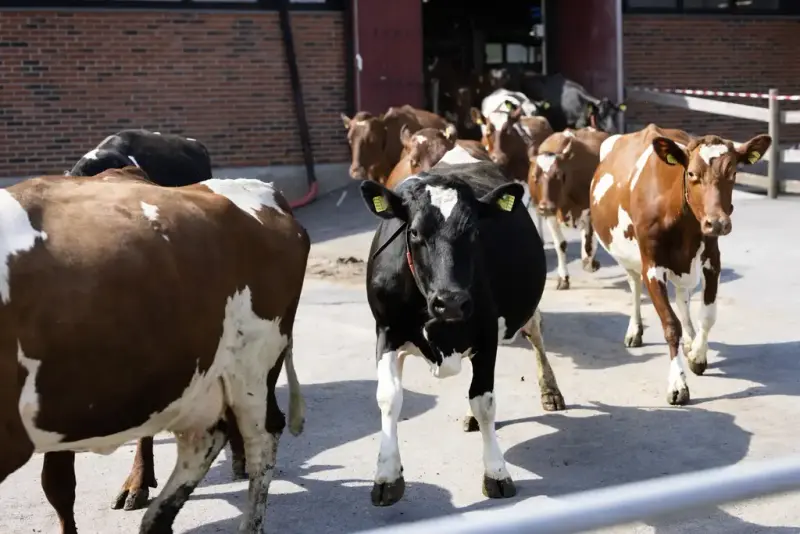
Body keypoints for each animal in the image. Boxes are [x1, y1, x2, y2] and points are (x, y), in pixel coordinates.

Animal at [360, 149, 564, 508]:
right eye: (414, 232)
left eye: (474, 232)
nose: (451, 301)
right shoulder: (386, 330)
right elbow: (388, 397)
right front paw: (386, 475)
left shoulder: (486, 334)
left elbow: (484, 401)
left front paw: (496, 473)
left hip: (523, 310)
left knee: (535, 333)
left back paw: (550, 391)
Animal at [528, 127, 608, 292]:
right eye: (534, 176)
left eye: (558, 175)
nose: (545, 207)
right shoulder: (551, 215)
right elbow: (561, 245)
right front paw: (563, 279)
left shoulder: (589, 209)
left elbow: (589, 242)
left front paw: (589, 262)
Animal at [592, 122, 772, 406]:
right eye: (692, 173)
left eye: (733, 172)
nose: (717, 223)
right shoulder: (651, 267)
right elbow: (670, 324)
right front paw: (678, 384)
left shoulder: (712, 259)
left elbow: (707, 315)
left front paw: (697, 354)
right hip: (629, 258)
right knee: (634, 286)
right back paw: (634, 331)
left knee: (682, 297)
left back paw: (690, 340)